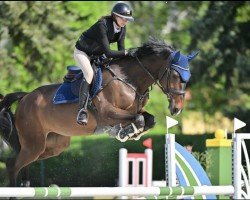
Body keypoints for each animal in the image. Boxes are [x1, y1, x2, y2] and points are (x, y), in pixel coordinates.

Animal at [0, 36, 197, 186]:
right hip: (34, 143)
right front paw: (124, 132)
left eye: (187, 78)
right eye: (175, 75)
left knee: (23, 163)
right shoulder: (107, 113)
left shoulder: (136, 110)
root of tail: (25, 97)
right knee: (12, 164)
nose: (177, 109)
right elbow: (139, 119)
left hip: (53, 145)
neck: (128, 80)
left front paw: (130, 132)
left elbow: (148, 119)